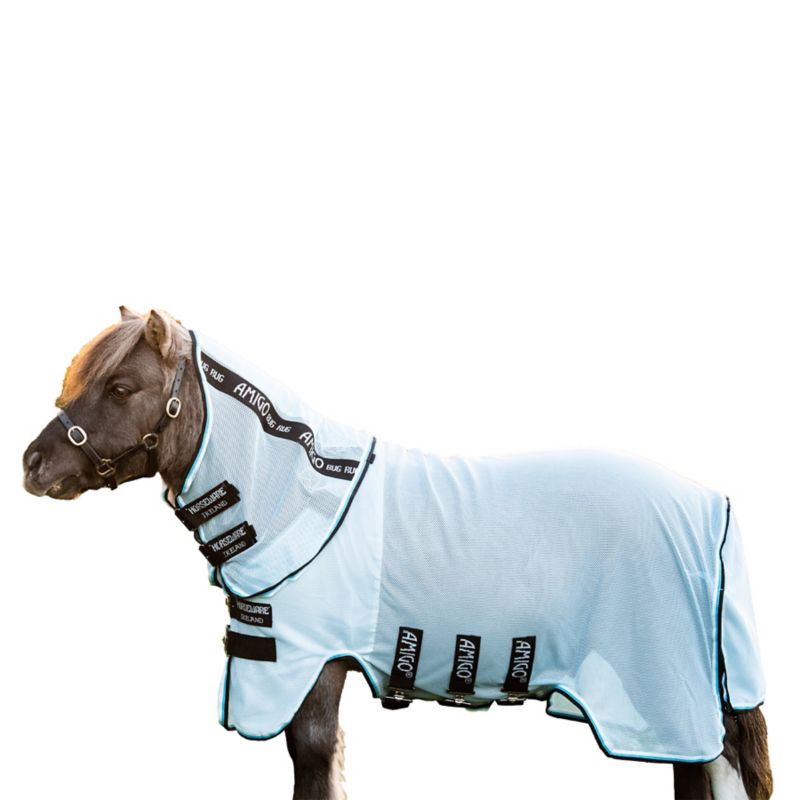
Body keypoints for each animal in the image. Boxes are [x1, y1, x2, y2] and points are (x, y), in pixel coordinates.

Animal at [22, 307, 774, 800]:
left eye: (122, 387)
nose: (33, 464)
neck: (296, 497)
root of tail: (713, 508)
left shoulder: (310, 670)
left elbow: (313, 765)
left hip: (665, 697)